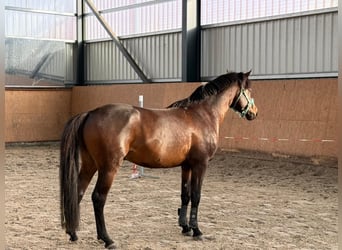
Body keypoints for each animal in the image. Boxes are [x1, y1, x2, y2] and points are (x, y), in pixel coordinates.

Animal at [59, 70, 256, 248]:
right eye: (249, 90)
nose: (254, 112)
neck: (202, 115)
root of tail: (90, 113)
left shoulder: (187, 166)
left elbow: (185, 195)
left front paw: (185, 227)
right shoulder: (201, 164)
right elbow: (196, 196)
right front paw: (197, 231)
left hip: (89, 165)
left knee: (78, 192)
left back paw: (73, 233)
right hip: (108, 168)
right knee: (98, 198)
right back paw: (107, 239)